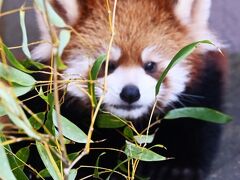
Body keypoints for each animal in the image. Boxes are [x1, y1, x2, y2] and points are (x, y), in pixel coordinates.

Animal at [28, 0, 227, 180]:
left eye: (150, 66)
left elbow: (196, 127)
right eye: (108, 65)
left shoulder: (203, 95)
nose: (130, 93)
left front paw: (177, 169)